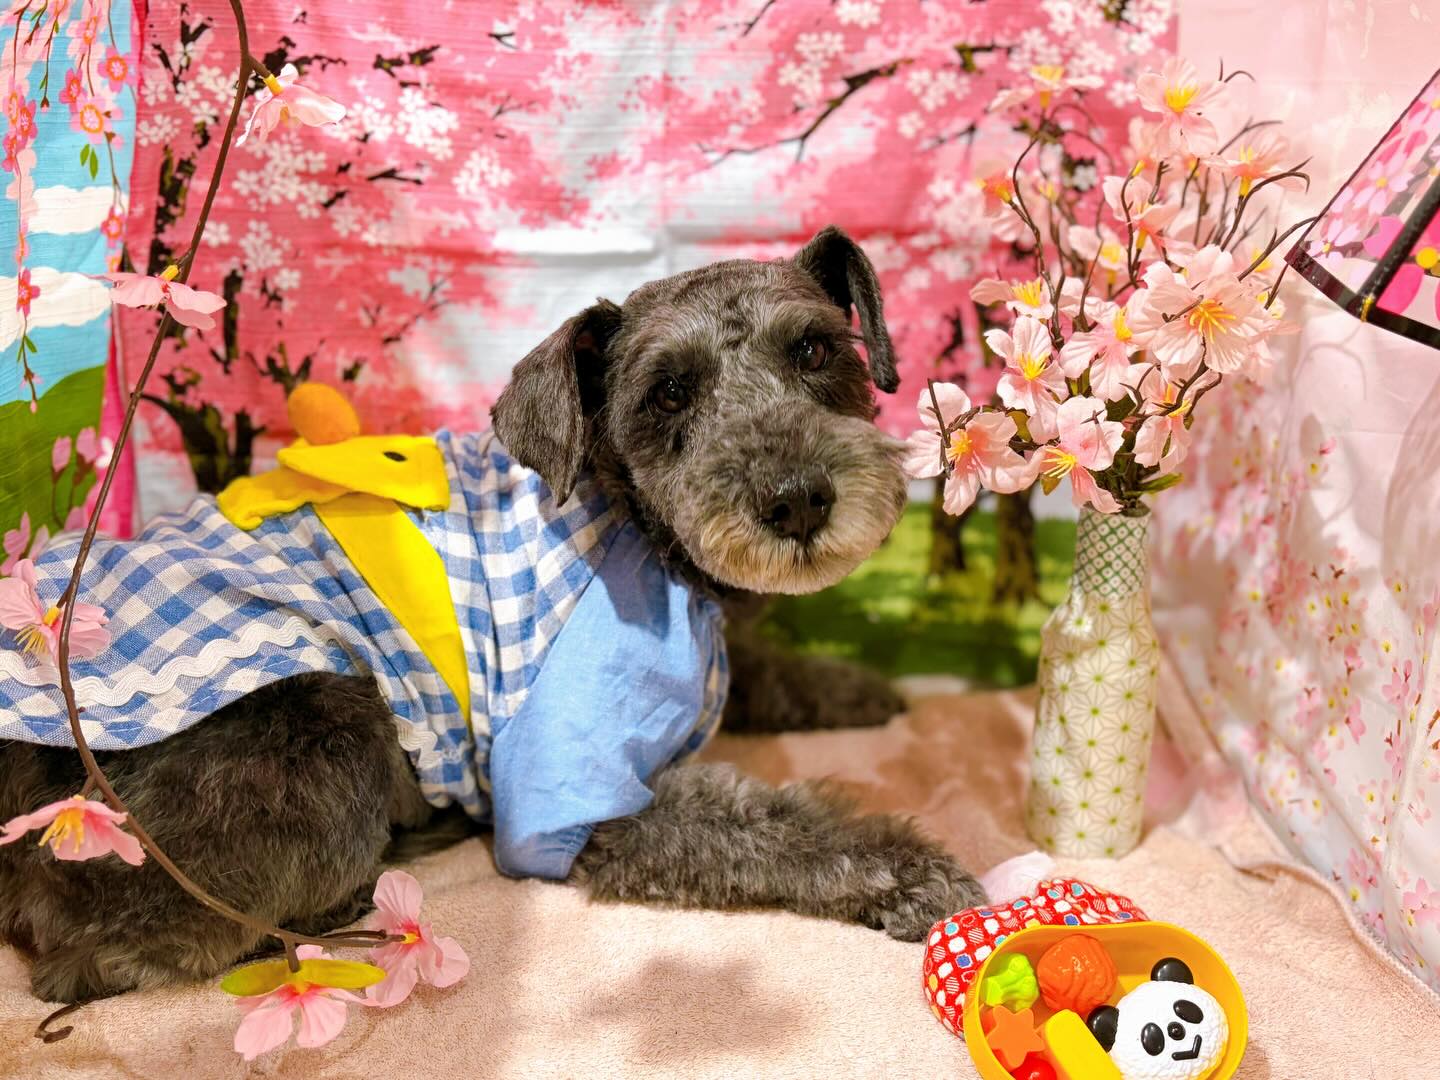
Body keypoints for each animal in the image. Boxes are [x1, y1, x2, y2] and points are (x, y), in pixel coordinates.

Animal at [0, 227, 986, 1005]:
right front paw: (914, 871)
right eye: (669, 391)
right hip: (328, 726)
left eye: (815, 351)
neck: (637, 526)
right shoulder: (584, 808)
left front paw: (857, 687)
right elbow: (777, 830)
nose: (798, 500)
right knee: (104, 957)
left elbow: (768, 673)